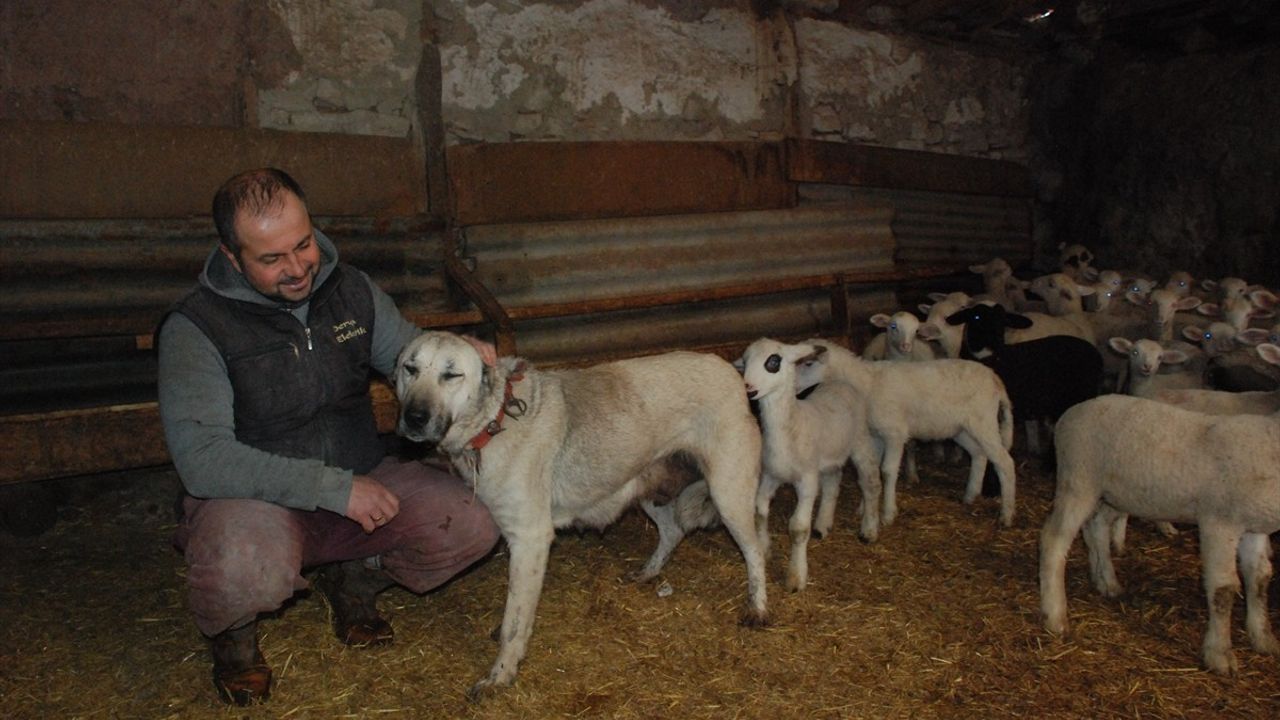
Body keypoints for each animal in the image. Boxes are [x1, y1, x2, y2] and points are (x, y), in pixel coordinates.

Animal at [737, 335, 885, 589]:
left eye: (773, 361)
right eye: (745, 362)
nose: (748, 388)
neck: (792, 426)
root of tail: (839, 383)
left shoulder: (807, 480)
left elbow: (798, 528)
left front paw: (796, 577)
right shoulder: (771, 475)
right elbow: (759, 512)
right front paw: (765, 549)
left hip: (860, 440)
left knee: (870, 482)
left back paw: (868, 529)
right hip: (830, 456)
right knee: (833, 483)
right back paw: (823, 525)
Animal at [793, 335, 1013, 527]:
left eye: (809, 364)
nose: (793, 388)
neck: (868, 383)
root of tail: (995, 379)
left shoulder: (895, 433)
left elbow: (888, 471)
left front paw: (888, 514)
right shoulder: (876, 435)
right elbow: (873, 469)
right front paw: (865, 509)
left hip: (983, 421)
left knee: (1005, 462)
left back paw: (1006, 515)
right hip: (961, 429)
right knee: (979, 454)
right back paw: (970, 496)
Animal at [1039, 386, 1280, 671]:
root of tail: (1071, 412)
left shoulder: (1254, 528)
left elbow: (1260, 579)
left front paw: (1263, 638)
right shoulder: (1219, 520)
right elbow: (1223, 588)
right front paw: (1219, 654)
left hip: (1112, 493)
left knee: (1096, 527)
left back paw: (1107, 583)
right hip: (1078, 480)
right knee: (1053, 539)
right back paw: (1055, 616)